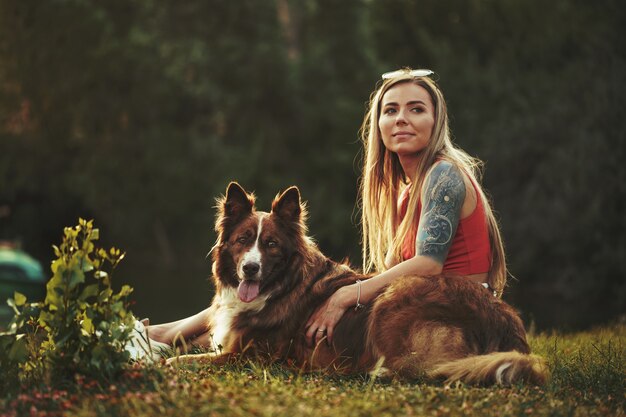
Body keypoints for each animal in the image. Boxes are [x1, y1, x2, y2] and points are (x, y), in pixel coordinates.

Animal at [171, 184, 544, 386]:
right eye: (243, 240)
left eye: (272, 245)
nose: (250, 269)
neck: (280, 289)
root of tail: (506, 321)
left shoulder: (249, 356)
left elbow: (181, 361)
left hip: (395, 298)